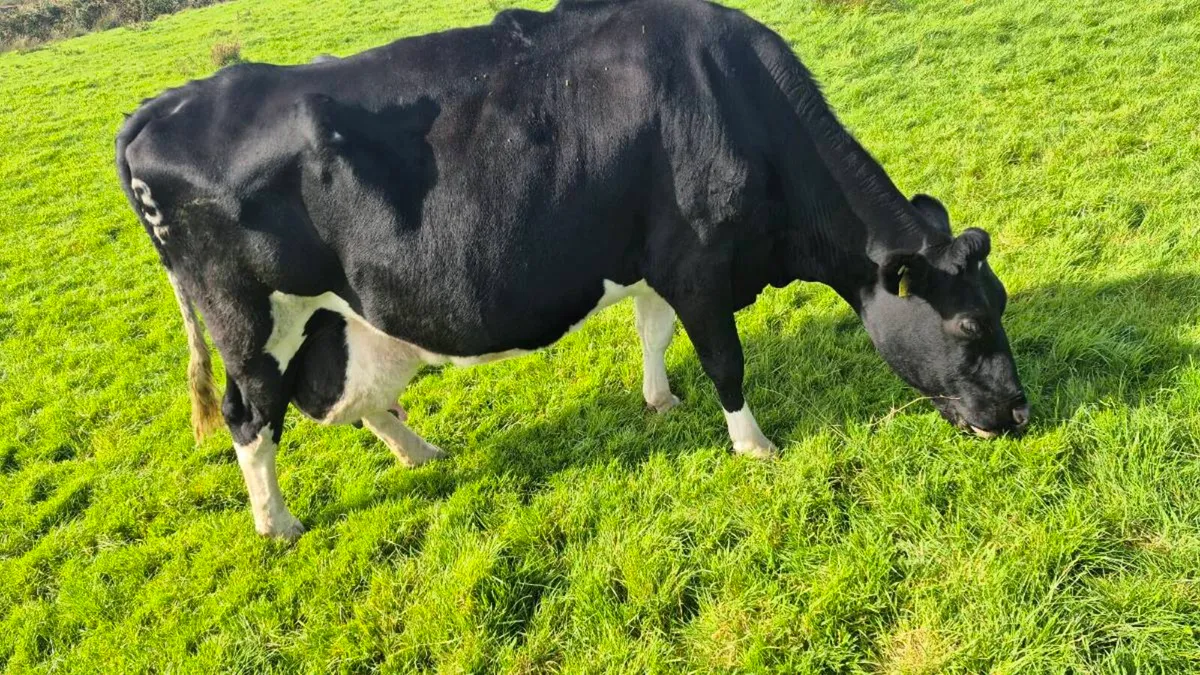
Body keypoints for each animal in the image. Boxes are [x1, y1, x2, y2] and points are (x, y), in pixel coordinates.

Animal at [116, 0, 1029, 540]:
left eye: (1002, 302)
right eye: (968, 322)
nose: (1019, 412)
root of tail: (163, 105)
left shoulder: (656, 259)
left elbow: (653, 331)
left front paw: (661, 400)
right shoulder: (699, 262)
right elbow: (724, 359)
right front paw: (755, 446)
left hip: (334, 316)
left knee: (345, 393)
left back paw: (421, 452)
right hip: (249, 319)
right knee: (250, 417)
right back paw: (278, 524)